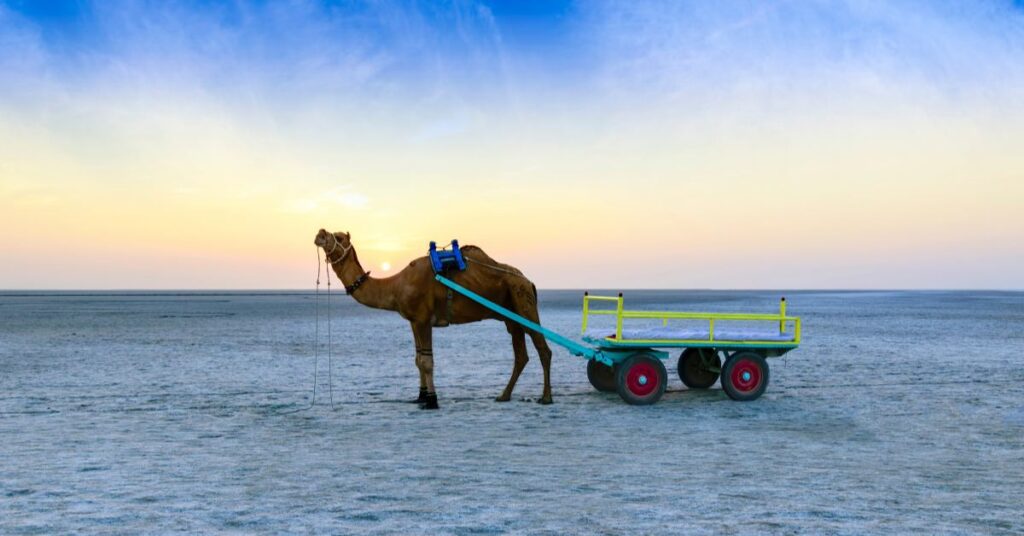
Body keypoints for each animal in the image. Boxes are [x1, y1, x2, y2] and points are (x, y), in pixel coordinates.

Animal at [311, 228, 552, 409]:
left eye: (339, 237)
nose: (320, 232)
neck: (396, 286)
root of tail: (528, 280)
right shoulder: (413, 321)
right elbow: (418, 359)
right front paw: (420, 397)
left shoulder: (422, 318)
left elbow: (427, 361)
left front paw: (432, 401)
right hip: (511, 314)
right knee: (521, 354)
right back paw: (504, 395)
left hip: (523, 300)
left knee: (543, 347)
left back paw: (546, 397)